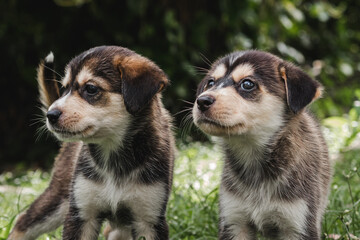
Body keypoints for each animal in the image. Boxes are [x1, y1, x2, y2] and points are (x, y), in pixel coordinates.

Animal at [9, 45, 175, 240]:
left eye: (90, 88)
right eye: (64, 88)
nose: (50, 115)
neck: (113, 155)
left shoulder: (148, 220)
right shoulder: (81, 215)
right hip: (58, 198)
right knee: (22, 222)